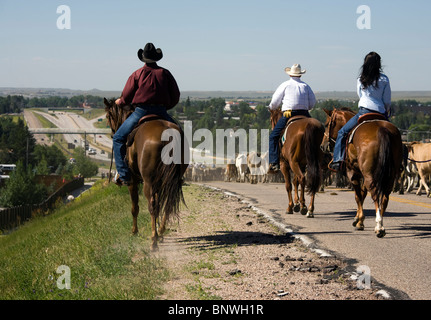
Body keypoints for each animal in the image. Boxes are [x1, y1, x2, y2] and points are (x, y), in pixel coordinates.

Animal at [104, 97, 189, 250]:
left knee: (152, 205)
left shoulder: (133, 181)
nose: (113, 134)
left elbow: (135, 207)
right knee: (166, 203)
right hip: (169, 181)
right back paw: (160, 232)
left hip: (148, 182)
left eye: (108, 116)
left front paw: (134, 231)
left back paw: (153, 240)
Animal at [324, 108, 404, 238]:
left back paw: (379, 227)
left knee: (375, 194)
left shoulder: (353, 172)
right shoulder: (362, 174)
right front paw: (359, 220)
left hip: (369, 174)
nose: (323, 145)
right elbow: (363, 194)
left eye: (326, 124)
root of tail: (382, 129)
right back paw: (381, 225)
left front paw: (359, 221)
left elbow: (358, 196)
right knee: (385, 197)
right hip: (389, 176)